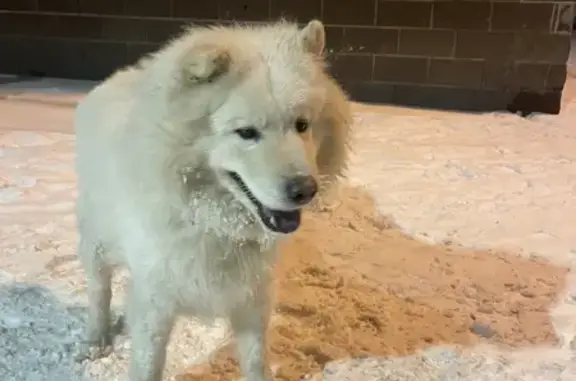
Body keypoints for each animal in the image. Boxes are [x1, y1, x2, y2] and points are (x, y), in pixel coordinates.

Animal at [72, 18, 352, 380]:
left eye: (302, 124)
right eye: (246, 132)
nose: (305, 190)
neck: (214, 223)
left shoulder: (253, 298)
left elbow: (256, 363)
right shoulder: (156, 303)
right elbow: (147, 363)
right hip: (96, 241)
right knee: (99, 289)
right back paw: (96, 339)